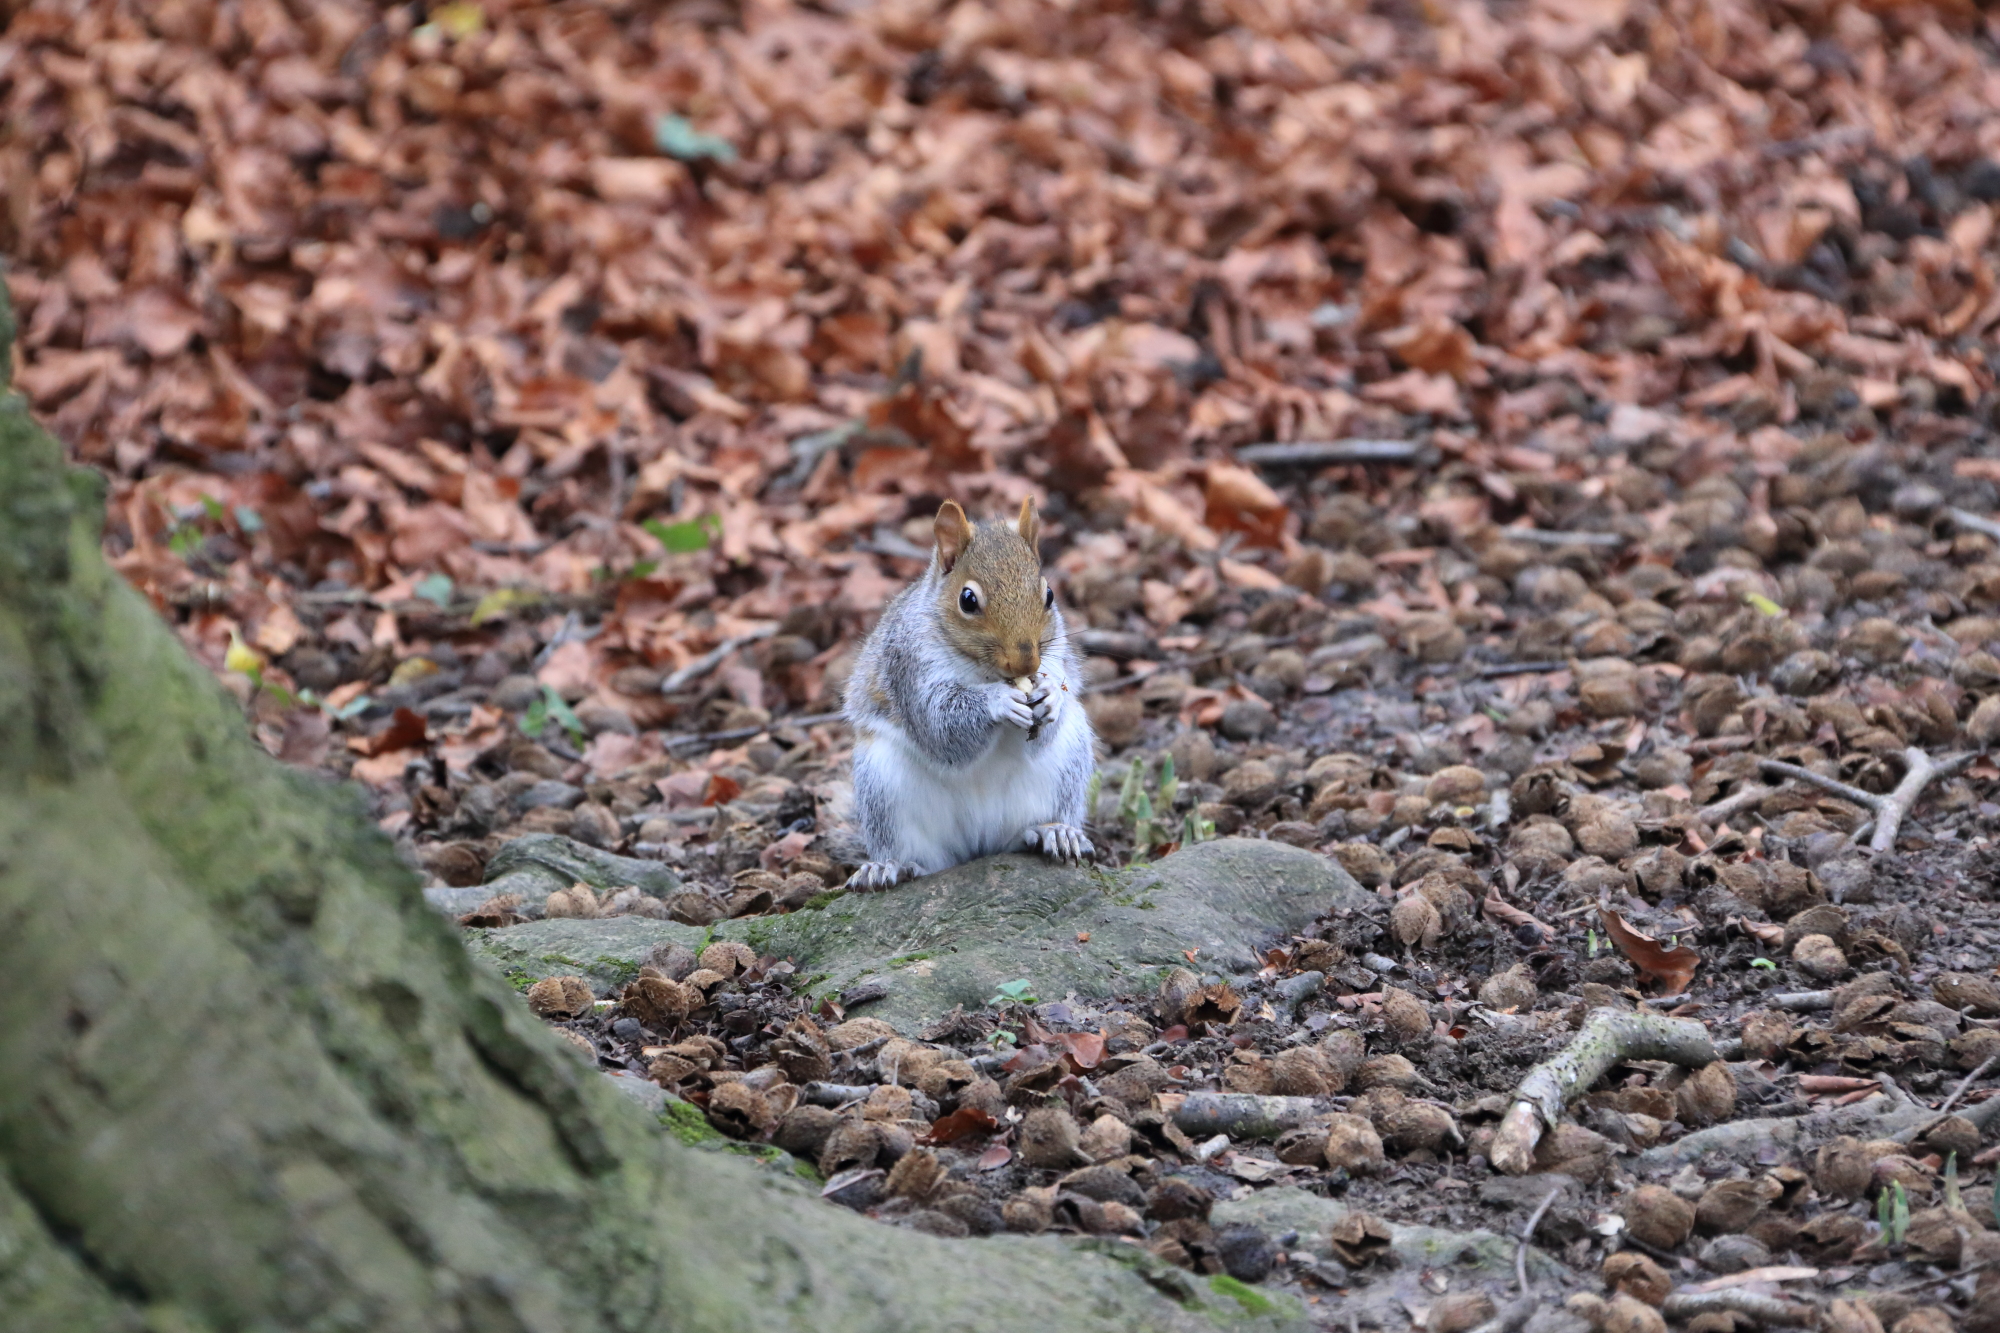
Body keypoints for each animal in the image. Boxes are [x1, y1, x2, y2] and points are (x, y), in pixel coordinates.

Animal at [840, 497, 1096, 890]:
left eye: (1049, 595)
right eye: (968, 600)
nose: (1026, 662)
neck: (986, 673)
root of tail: (978, 843)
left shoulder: (1056, 655)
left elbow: (1046, 722)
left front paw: (1051, 693)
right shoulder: (909, 667)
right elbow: (939, 727)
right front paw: (998, 702)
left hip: (1067, 761)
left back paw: (1054, 831)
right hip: (883, 784)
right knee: (913, 853)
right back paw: (889, 867)